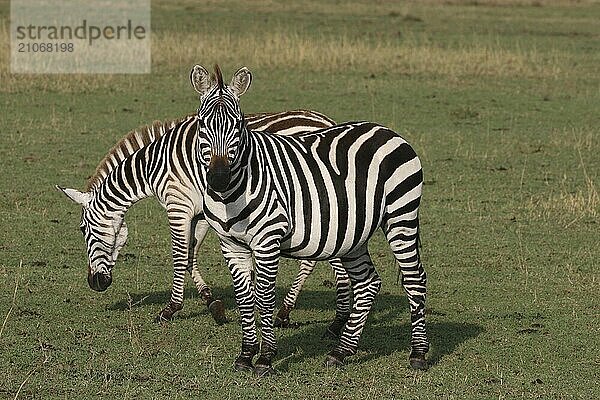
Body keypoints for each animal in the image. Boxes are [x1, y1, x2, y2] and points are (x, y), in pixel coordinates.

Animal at [55, 109, 352, 328]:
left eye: (83, 229)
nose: (95, 284)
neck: (154, 166)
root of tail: (328, 121)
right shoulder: (200, 214)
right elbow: (190, 256)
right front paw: (215, 305)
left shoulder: (178, 205)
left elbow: (178, 256)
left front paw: (170, 310)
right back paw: (287, 312)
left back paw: (334, 319)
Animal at [190, 65, 428, 376]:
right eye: (201, 124)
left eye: (239, 125)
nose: (218, 178)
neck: (233, 192)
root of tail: (387, 130)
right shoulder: (231, 244)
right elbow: (244, 298)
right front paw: (245, 355)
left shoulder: (268, 238)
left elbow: (264, 296)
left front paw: (265, 358)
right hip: (354, 233)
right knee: (368, 282)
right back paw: (341, 351)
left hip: (401, 215)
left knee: (415, 279)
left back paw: (419, 354)